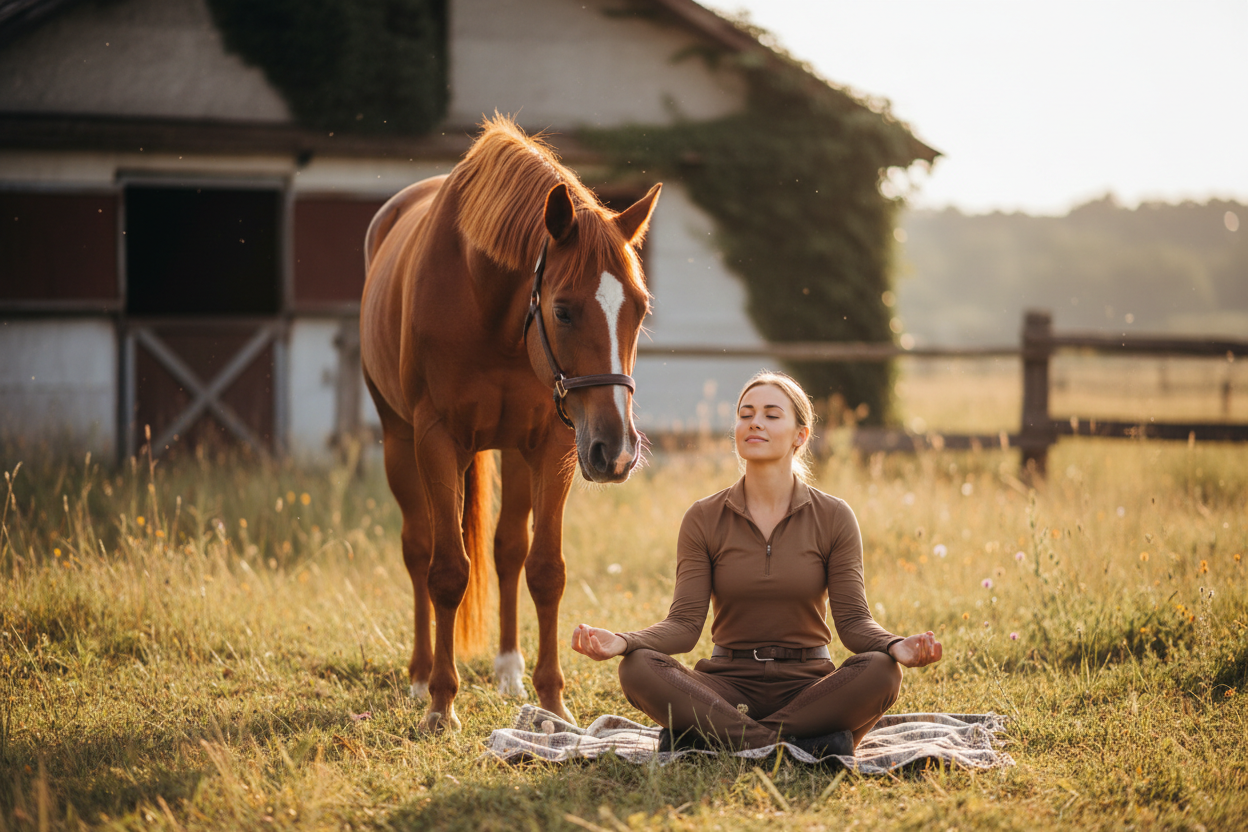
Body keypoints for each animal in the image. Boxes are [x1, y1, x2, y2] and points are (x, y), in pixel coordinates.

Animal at [360, 116, 661, 731]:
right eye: (563, 309)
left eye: (640, 308)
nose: (617, 452)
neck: (491, 310)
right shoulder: (436, 439)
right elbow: (447, 570)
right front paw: (441, 705)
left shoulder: (554, 445)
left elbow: (544, 569)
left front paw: (552, 703)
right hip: (400, 442)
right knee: (418, 548)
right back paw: (421, 676)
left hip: (517, 453)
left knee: (506, 551)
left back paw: (508, 671)